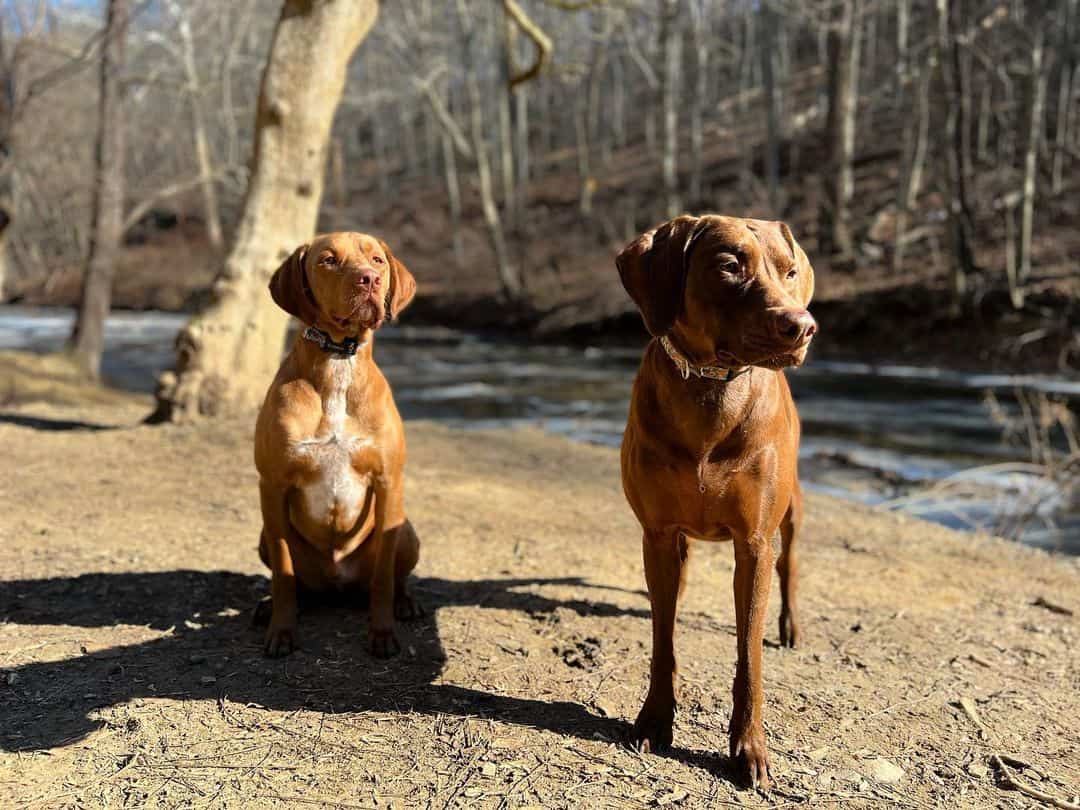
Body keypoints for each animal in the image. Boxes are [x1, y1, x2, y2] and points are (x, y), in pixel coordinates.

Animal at [253, 233, 421, 660]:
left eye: (377, 261)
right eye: (328, 260)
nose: (369, 280)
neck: (337, 362)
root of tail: (336, 582)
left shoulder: (388, 480)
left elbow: (383, 578)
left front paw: (382, 632)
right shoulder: (272, 485)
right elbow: (283, 571)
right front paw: (282, 630)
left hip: (408, 531)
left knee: (395, 575)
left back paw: (405, 601)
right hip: (264, 535)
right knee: (295, 579)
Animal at [622, 217, 812, 794]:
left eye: (789, 271)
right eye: (730, 265)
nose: (803, 326)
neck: (710, 391)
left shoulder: (753, 544)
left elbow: (749, 658)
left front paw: (749, 748)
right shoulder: (659, 534)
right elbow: (662, 640)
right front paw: (655, 720)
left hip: (791, 510)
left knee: (790, 563)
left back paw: (790, 625)